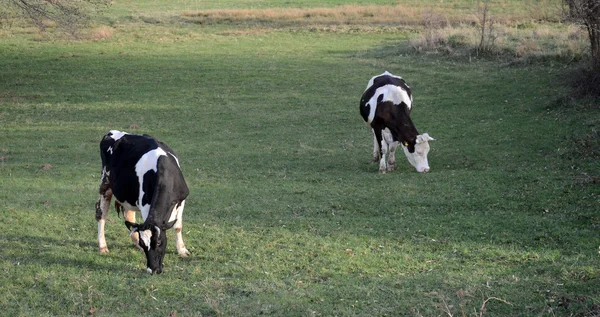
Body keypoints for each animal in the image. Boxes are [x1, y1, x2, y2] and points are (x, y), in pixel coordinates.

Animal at [94, 130, 190, 272]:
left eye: (159, 242)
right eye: (145, 245)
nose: (153, 269)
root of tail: (112, 132)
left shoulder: (181, 200)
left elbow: (178, 226)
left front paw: (182, 251)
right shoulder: (145, 205)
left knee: (129, 216)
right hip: (105, 183)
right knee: (102, 215)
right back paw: (103, 246)